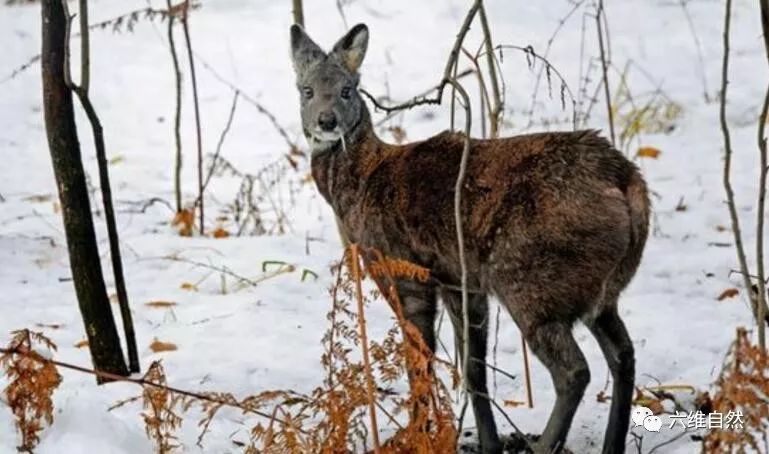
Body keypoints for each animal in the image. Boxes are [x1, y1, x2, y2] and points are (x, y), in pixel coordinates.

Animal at [288, 22, 648, 454]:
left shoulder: (402, 269)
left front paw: (415, 436)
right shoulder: (460, 281)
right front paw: (488, 443)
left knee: (574, 370)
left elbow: (419, 360)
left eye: (347, 89)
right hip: (599, 290)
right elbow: (473, 369)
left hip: (529, 280)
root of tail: (626, 182)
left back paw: (543, 444)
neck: (361, 184)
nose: (326, 122)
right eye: (306, 90)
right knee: (623, 353)